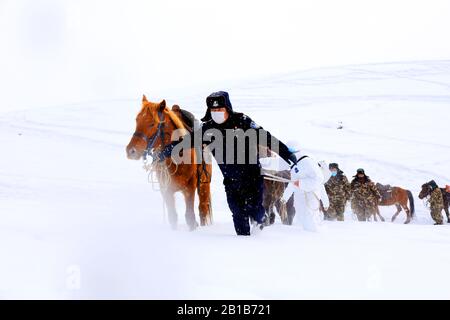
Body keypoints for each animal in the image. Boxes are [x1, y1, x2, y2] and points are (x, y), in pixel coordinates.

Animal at [125, 95, 213, 230]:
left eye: (152, 124)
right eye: (137, 120)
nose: (131, 151)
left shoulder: (190, 187)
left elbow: (190, 218)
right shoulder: (166, 190)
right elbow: (173, 217)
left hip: (203, 184)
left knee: (202, 209)